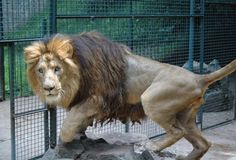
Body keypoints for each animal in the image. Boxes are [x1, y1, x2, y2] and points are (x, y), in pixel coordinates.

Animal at [24, 31, 236, 160]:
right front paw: (81, 133)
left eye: (57, 69)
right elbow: (79, 121)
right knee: (203, 143)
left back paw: (152, 148)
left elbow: (68, 124)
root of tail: (198, 77)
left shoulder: (97, 98)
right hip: (186, 115)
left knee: (177, 132)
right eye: (40, 70)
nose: (49, 88)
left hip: (151, 100)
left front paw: (69, 137)